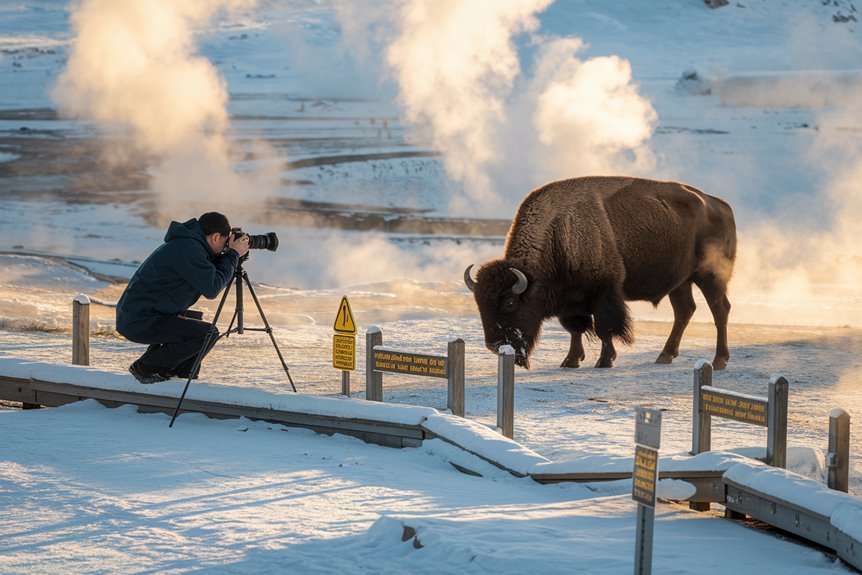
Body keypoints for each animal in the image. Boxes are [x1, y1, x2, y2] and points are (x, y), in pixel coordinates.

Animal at [466, 178, 736, 372]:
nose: (494, 345)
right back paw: (665, 355)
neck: (560, 231)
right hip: (681, 283)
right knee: (684, 311)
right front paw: (571, 361)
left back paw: (719, 360)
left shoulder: (604, 292)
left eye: (510, 302)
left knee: (720, 309)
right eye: (479, 305)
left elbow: (605, 327)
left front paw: (604, 361)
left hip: (710, 276)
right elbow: (576, 328)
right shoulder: (571, 301)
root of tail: (721, 205)